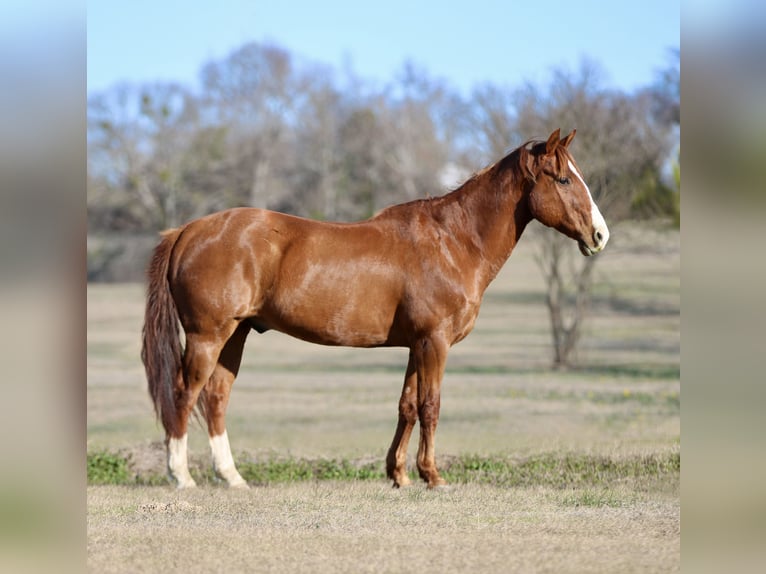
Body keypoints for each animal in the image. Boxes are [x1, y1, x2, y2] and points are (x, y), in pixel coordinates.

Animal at [141, 128, 609, 489]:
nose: (600, 235)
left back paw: (232, 477)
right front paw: (432, 476)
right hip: (208, 335)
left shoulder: (416, 345)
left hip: (234, 333)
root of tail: (187, 230)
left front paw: (399, 475)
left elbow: (407, 406)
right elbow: (430, 405)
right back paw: (182, 477)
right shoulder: (434, 342)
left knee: (216, 397)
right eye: (563, 179)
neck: (453, 241)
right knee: (185, 393)